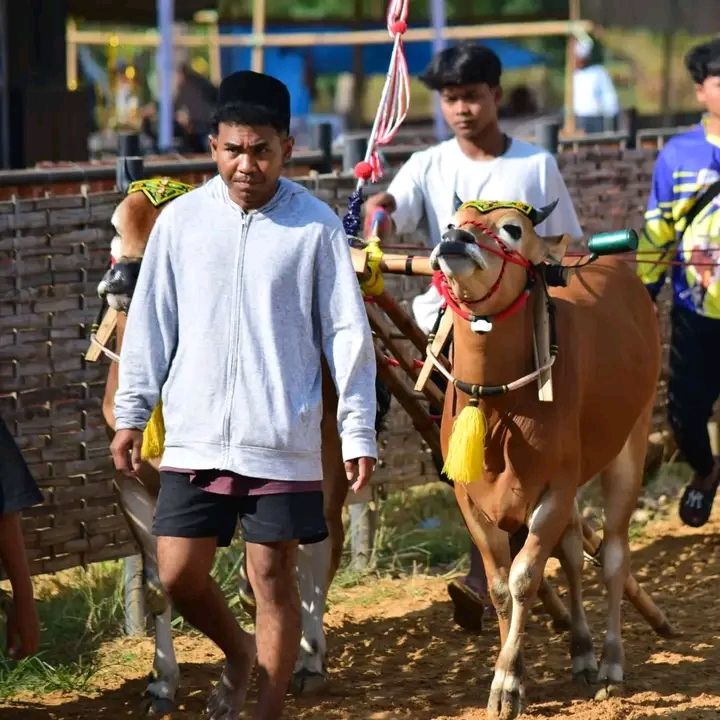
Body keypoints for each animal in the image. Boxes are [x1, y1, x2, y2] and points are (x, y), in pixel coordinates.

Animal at [430, 200, 660, 720]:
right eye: (452, 219)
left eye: (512, 229)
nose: (455, 239)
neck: (499, 409)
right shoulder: (469, 499)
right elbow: (499, 588)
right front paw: (510, 672)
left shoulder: (554, 488)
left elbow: (524, 578)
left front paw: (508, 684)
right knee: (574, 550)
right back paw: (582, 651)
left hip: (630, 445)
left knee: (614, 555)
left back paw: (611, 660)